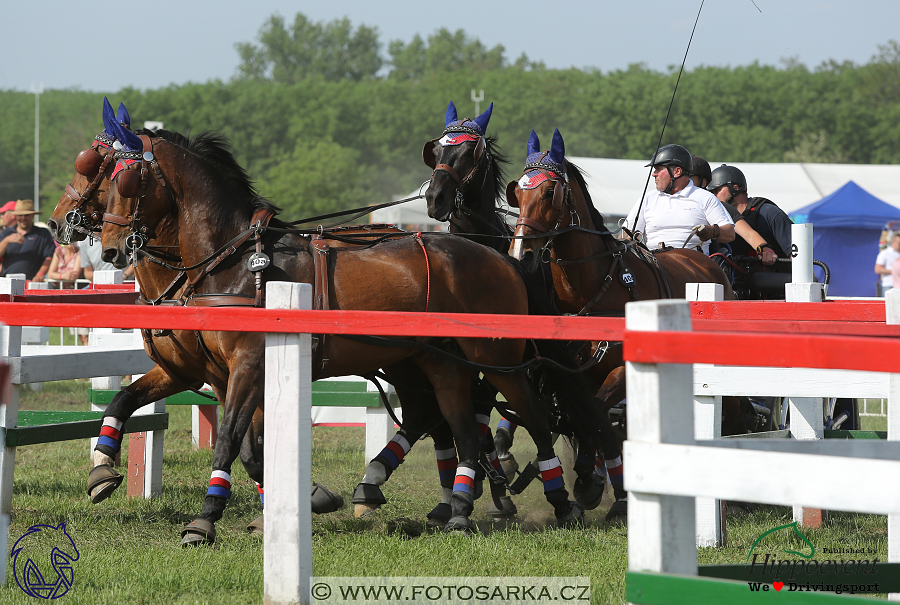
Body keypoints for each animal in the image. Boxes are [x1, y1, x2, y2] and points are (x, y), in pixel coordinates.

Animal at [91, 112, 604, 536]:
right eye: (103, 176)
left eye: (129, 179)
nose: (111, 248)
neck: (232, 261)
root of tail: (502, 256)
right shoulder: (214, 371)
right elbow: (239, 443)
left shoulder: (247, 365)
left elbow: (233, 443)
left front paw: (206, 519)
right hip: (439, 364)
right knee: (457, 424)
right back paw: (455, 509)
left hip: (496, 360)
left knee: (530, 415)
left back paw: (560, 502)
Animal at [502, 127, 736, 516]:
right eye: (517, 192)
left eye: (550, 192)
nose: (522, 254)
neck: (594, 286)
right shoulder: (573, 371)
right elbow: (582, 414)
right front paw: (591, 481)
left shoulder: (623, 369)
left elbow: (595, 412)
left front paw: (590, 476)